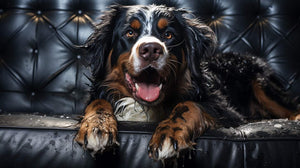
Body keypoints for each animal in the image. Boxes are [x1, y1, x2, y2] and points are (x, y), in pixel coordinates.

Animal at [74, 4, 298, 161]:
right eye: (130, 33)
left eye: (168, 35)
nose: (151, 49)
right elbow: (98, 103)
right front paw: (97, 127)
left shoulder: (225, 110)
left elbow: (188, 106)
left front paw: (169, 134)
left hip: (261, 85)